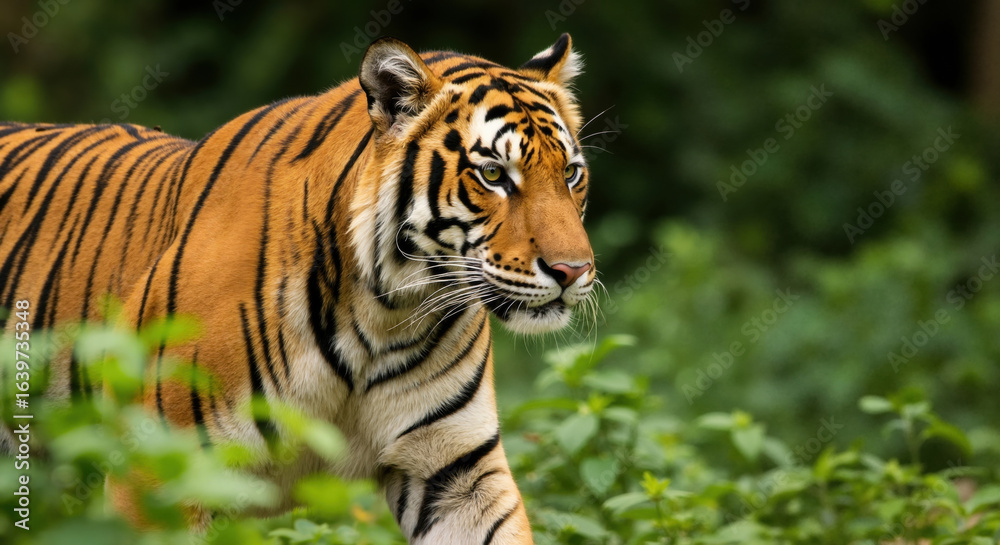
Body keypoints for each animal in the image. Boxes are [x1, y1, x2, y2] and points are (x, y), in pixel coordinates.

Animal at [0, 33, 595, 543]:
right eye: (493, 175)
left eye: (570, 173)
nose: (574, 271)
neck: (385, 314)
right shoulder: (160, 474)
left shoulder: (456, 470)